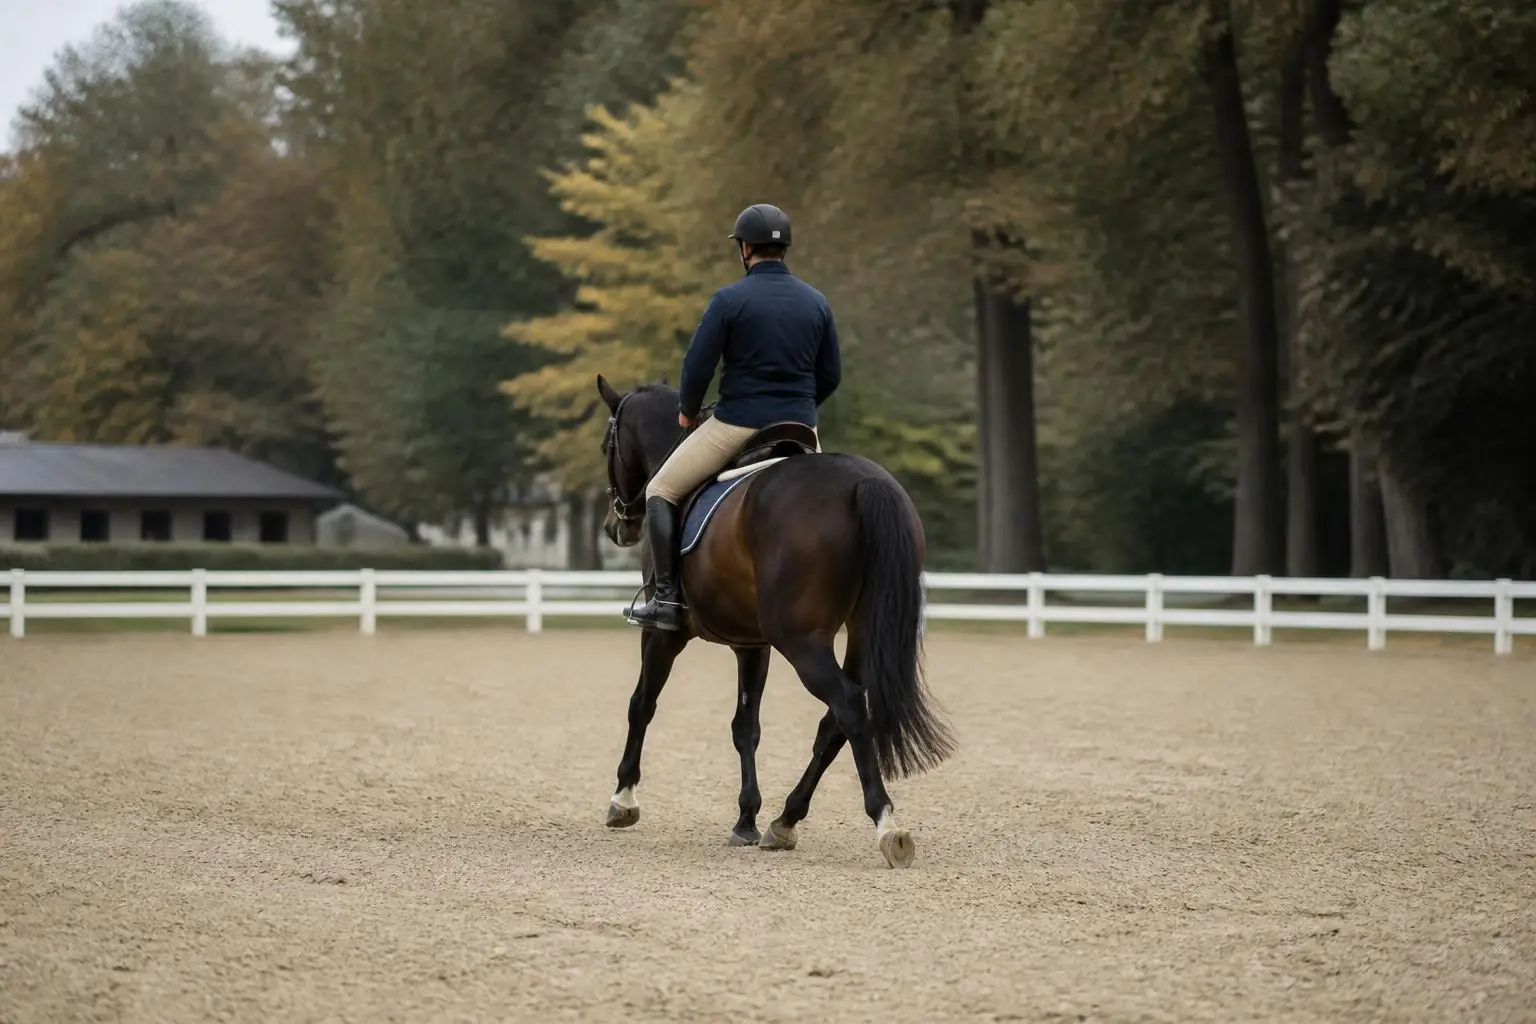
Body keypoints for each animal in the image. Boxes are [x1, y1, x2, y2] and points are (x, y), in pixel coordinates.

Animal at [593, 373, 955, 868]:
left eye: (606, 445)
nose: (617, 529)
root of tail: (861, 482)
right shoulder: (753, 644)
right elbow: (746, 727)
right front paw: (746, 818)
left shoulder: (663, 635)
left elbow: (641, 704)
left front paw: (623, 799)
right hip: (860, 633)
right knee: (835, 720)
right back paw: (785, 820)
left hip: (801, 640)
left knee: (847, 706)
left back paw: (886, 824)